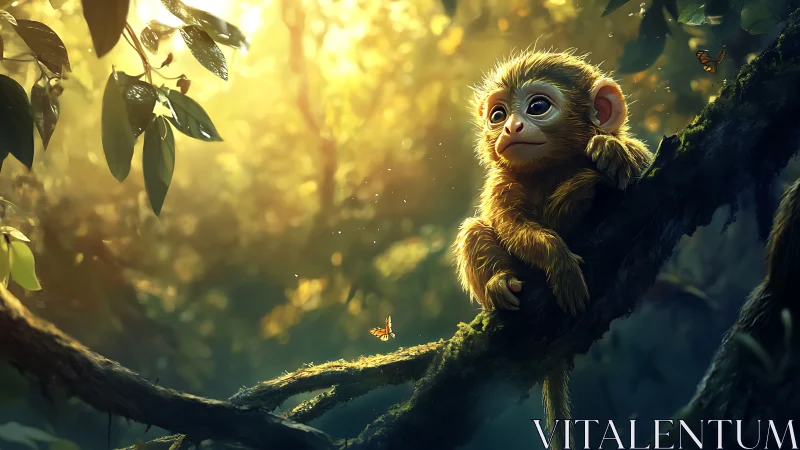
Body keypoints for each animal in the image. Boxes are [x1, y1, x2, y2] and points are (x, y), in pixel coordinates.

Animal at [452, 50, 653, 450]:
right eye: (498, 115)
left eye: (538, 107)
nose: (510, 128)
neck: (552, 170)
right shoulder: (501, 183)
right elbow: (510, 226)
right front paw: (557, 259)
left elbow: (643, 164)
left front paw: (609, 150)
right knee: (474, 231)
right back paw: (500, 281)